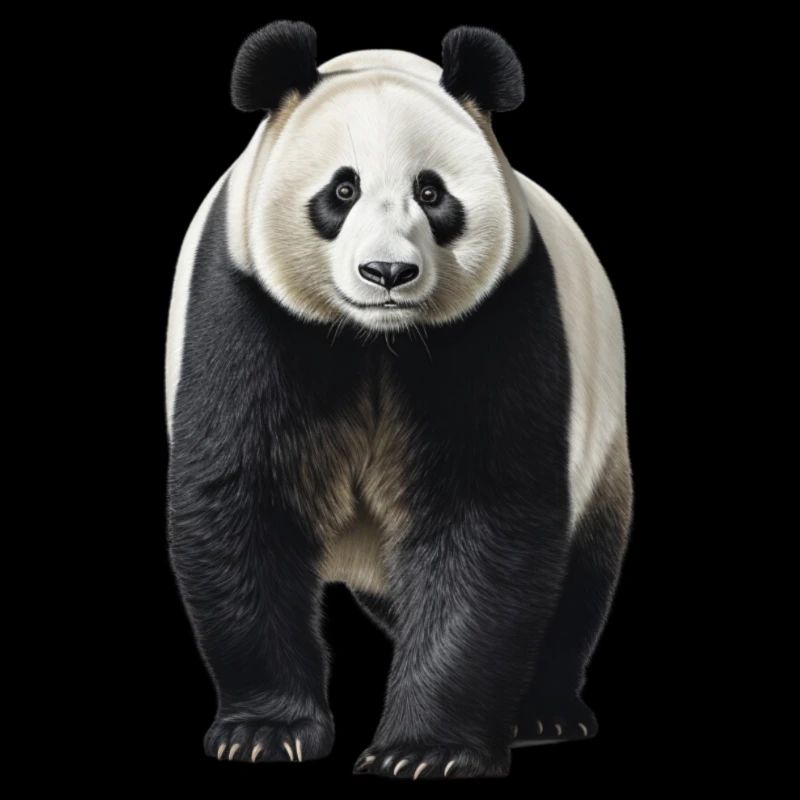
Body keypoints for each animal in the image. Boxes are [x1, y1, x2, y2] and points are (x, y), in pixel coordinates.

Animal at [165, 21, 633, 780]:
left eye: (432, 192)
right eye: (342, 189)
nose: (388, 272)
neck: (375, 339)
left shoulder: (499, 316)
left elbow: (483, 514)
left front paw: (425, 751)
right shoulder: (246, 307)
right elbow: (242, 495)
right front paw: (266, 732)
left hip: (602, 439)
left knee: (579, 575)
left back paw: (543, 712)